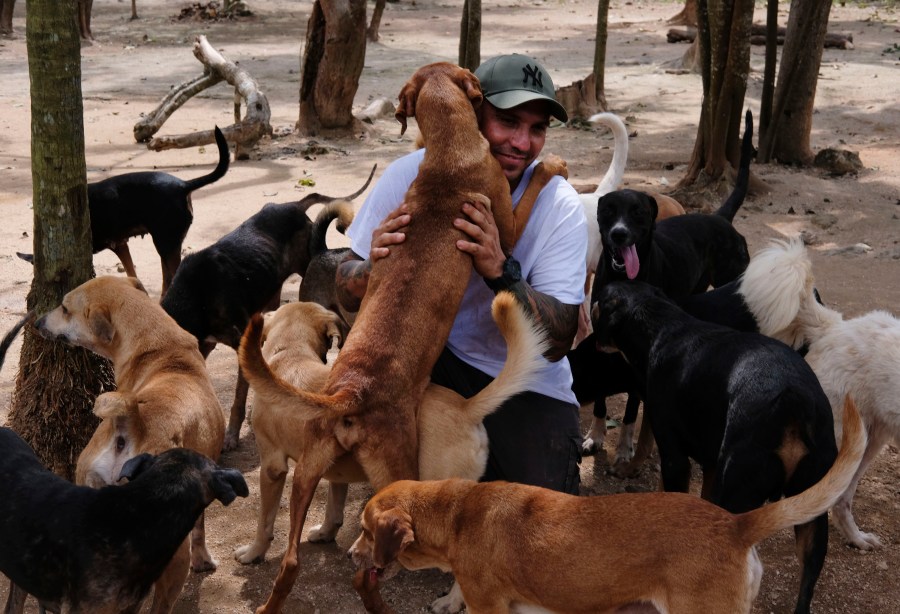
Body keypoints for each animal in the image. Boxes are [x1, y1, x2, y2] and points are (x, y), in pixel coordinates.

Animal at [34, 278, 225, 614]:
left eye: (65, 308)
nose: (37, 322)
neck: (162, 349)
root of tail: (132, 421)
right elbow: (200, 529)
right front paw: (204, 561)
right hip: (173, 558)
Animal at [160, 166, 374, 450]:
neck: (194, 295)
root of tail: (294, 205)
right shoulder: (203, 346)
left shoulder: (238, 343)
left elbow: (238, 399)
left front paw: (231, 435)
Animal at [596, 280, 840, 614]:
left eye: (598, 303)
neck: (663, 327)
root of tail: (795, 399)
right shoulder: (711, 465)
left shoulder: (674, 457)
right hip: (813, 512)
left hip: (738, 491)